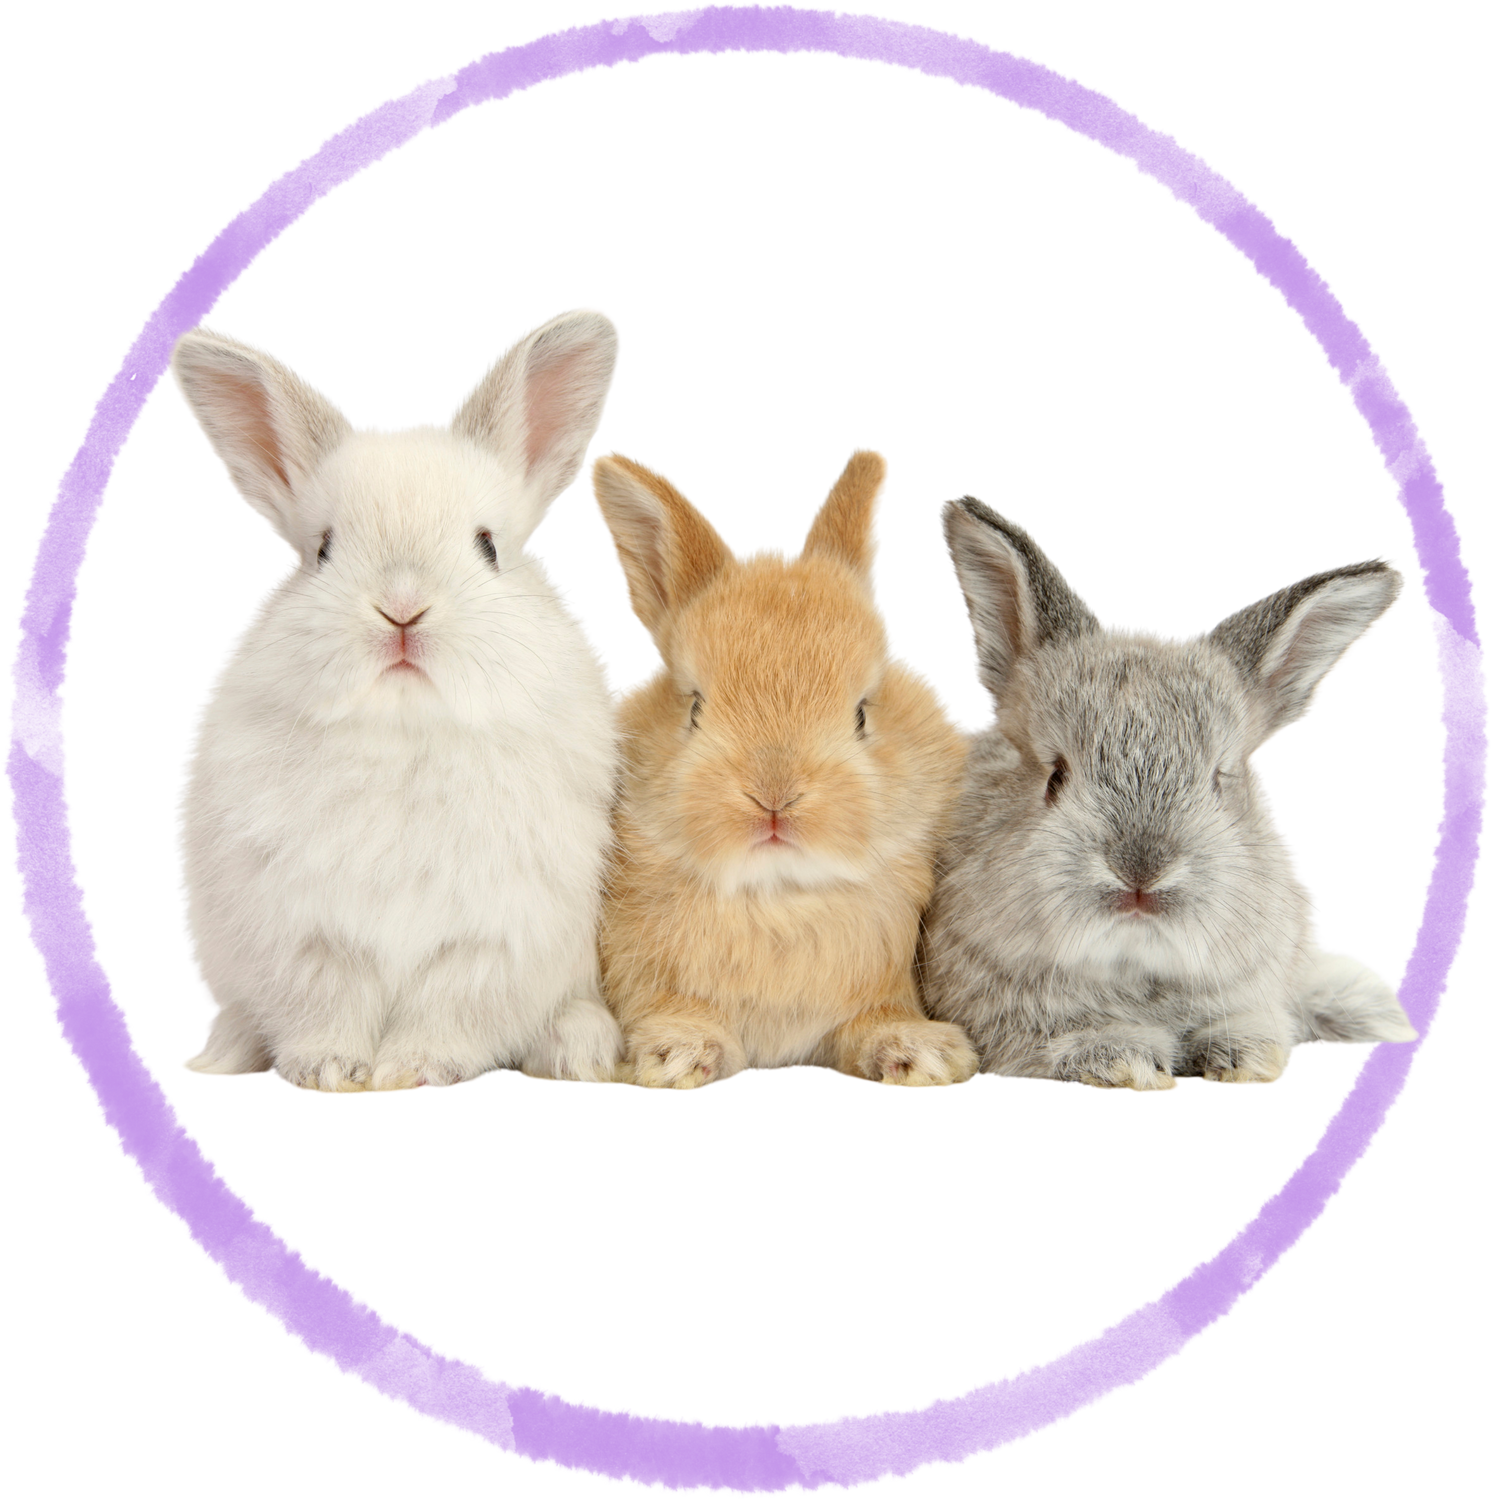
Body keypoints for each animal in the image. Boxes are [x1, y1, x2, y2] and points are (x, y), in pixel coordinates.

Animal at [168, 305, 628, 1095]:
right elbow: (328, 1005)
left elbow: (450, 1012)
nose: (402, 609)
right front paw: (331, 1073)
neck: (407, 730)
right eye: (321, 549)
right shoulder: (306, 934)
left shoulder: (490, 939)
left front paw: (411, 1071)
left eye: (488, 546)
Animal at [585, 444, 980, 1092]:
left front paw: (922, 1055)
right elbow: (670, 1007)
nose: (773, 797)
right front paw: (679, 1054)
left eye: (863, 713)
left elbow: (877, 1019)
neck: (780, 897)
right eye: (694, 707)